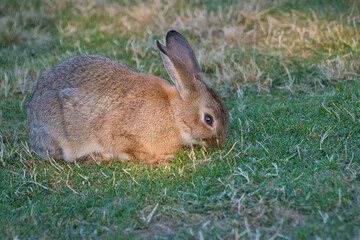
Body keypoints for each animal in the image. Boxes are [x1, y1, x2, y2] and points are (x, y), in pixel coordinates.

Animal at [26, 29, 228, 163]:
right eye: (208, 119)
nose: (220, 144)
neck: (173, 112)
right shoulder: (118, 131)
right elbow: (127, 149)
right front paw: (157, 159)